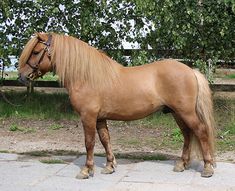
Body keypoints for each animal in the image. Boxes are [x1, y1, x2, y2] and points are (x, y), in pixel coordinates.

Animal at [18, 32, 216, 179]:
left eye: (35, 52)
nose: (21, 77)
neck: (86, 76)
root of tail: (190, 70)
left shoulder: (88, 116)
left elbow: (89, 142)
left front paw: (86, 170)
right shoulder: (100, 118)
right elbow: (105, 140)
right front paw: (109, 166)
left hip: (186, 112)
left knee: (201, 131)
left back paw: (207, 168)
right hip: (177, 113)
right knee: (188, 135)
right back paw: (182, 164)